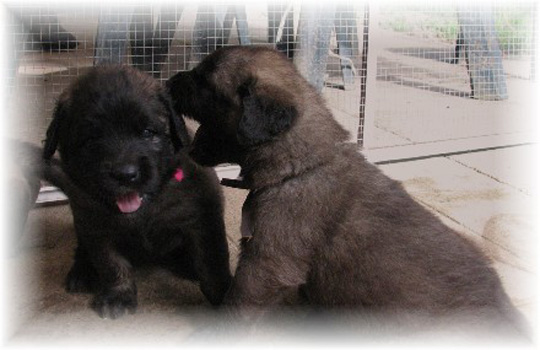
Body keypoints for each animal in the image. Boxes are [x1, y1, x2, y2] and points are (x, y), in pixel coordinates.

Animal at [43, 64, 232, 318]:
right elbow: (111, 264)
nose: (125, 174)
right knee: (82, 248)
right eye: (91, 139)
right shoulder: (95, 226)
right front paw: (119, 295)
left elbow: (212, 263)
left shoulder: (202, 218)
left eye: (147, 132)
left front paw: (225, 297)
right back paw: (81, 272)